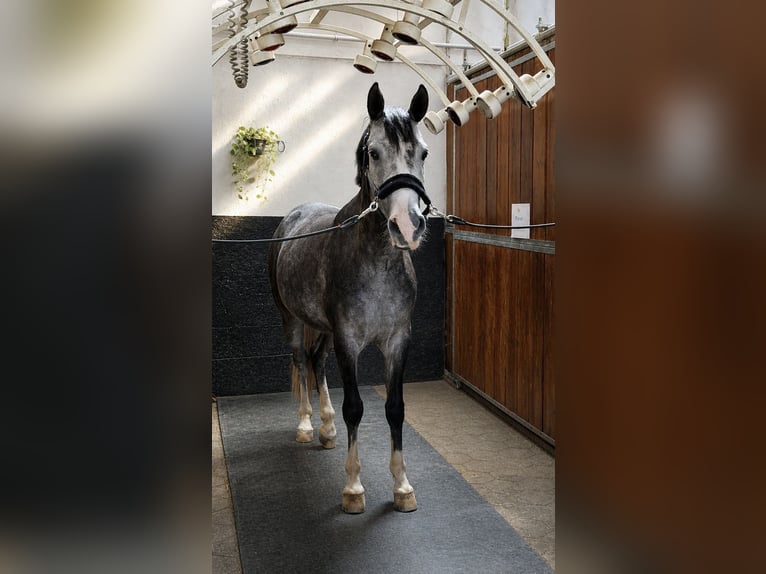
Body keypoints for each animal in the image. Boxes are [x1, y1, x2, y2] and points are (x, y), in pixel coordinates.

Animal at [268, 82, 430, 514]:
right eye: (374, 152)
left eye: (424, 152)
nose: (407, 225)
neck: (375, 261)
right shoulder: (349, 342)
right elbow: (355, 407)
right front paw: (354, 489)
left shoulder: (397, 341)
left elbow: (395, 408)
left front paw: (402, 487)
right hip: (292, 319)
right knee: (300, 361)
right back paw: (307, 426)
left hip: (322, 329)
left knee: (315, 361)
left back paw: (326, 430)